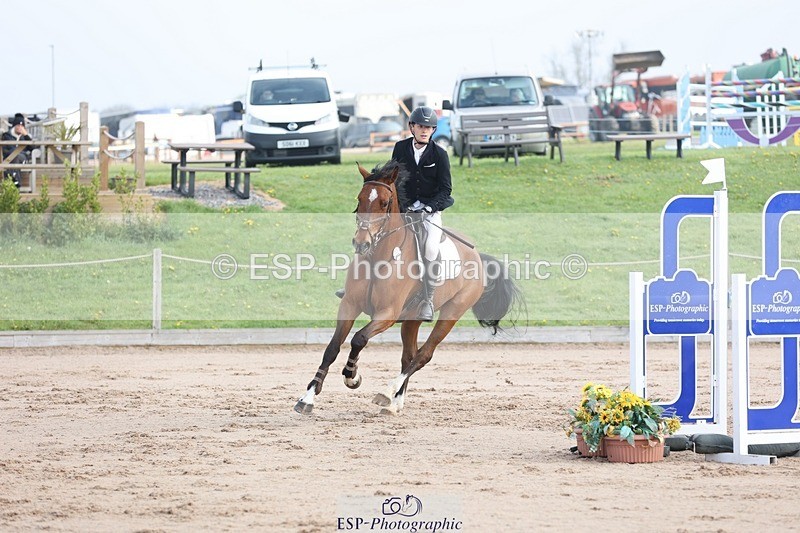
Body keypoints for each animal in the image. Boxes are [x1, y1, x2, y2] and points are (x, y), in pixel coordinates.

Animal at [294, 160, 522, 415]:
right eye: (359, 199)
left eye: (385, 203)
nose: (361, 244)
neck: (378, 259)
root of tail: (478, 256)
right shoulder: (349, 305)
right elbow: (332, 348)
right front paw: (307, 398)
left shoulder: (387, 314)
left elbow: (359, 339)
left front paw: (352, 377)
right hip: (412, 319)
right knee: (408, 356)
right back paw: (395, 403)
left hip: (452, 313)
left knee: (423, 355)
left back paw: (386, 394)